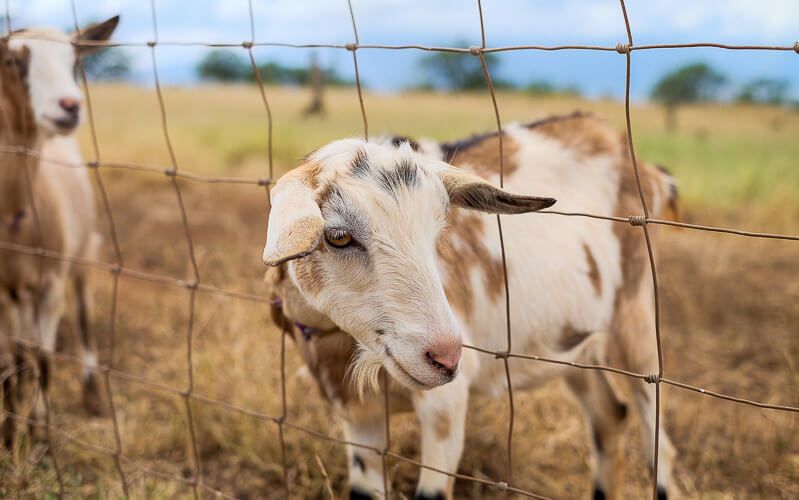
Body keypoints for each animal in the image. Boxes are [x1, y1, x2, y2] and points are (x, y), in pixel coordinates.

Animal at [0, 16, 120, 446]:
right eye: (12, 61)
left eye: (74, 62)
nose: (70, 105)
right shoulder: (3, 291)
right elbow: (12, 358)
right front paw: (9, 431)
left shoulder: (51, 281)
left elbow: (45, 358)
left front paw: (39, 432)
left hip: (83, 253)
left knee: (83, 320)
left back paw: (92, 395)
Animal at [264, 113, 680, 500]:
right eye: (337, 236)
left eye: (437, 229)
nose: (446, 357)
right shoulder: (358, 417)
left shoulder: (446, 405)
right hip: (574, 345)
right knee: (610, 416)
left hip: (638, 318)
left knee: (656, 435)